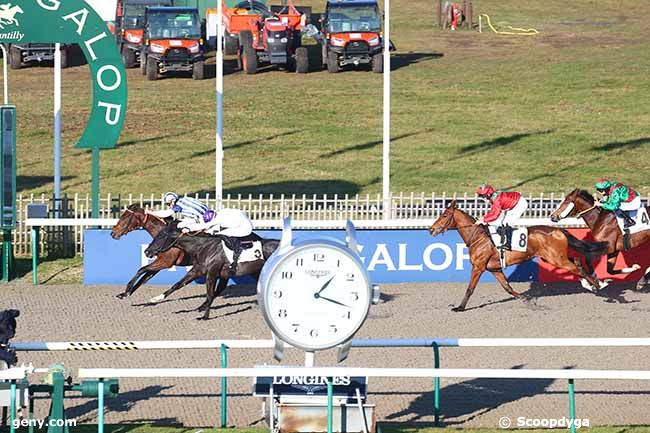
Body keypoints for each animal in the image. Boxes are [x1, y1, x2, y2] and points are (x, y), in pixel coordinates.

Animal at [144, 224, 278, 318]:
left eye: (161, 236)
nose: (147, 251)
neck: (203, 247)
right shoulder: (197, 271)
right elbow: (177, 285)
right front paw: (156, 299)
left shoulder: (212, 273)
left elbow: (209, 293)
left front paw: (205, 316)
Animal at [428, 199, 604, 310]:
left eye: (444, 215)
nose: (431, 229)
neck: (478, 236)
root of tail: (558, 230)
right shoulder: (495, 269)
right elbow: (507, 287)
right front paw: (524, 298)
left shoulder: (478, 267)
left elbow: (470, 289)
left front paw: (460, 307)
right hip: (554, 257)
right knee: (577, 261)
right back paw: (592, 282)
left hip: (557, 259)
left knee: (578, 268)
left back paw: (597, 285)